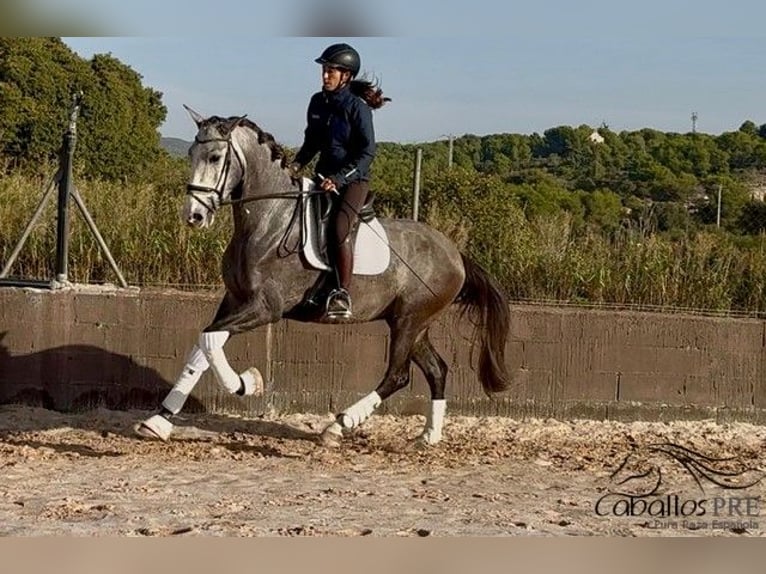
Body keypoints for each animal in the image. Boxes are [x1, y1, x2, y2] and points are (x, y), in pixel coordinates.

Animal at [135, 106, 511, 447]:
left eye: (214, 157)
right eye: (190, 154)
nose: (194, 216)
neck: (268, 221)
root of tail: (455, 253)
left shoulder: (265, 308)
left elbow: (210, 341)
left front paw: (246, 384)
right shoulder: (235, 300)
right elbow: (203, 346)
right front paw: (158, 421)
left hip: (409, 321)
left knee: (398, 375)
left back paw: (338, 426)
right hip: (413, 323)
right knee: (436, 370)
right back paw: (428, 437)